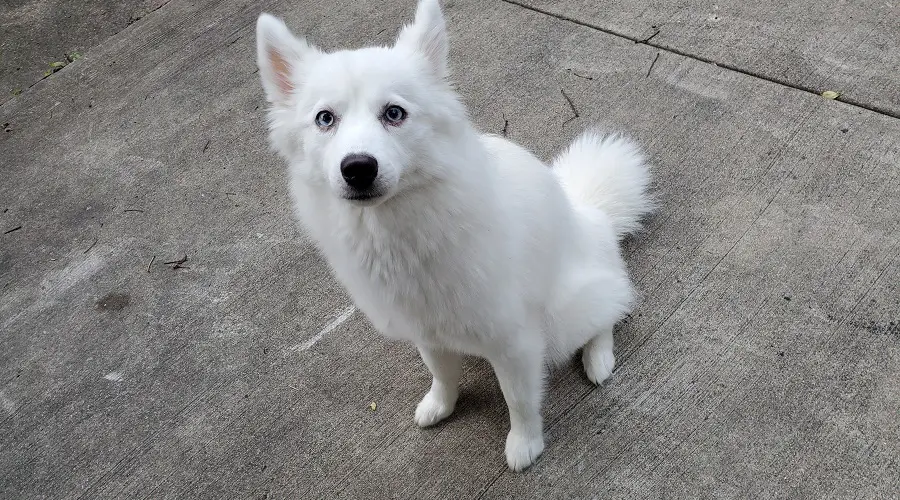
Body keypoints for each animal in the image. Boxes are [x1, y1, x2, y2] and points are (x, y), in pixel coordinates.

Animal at [253, 0, 652, 470]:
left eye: (394, 113)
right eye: (325, 119)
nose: (357, 168)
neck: (401, 231)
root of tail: (591, 211)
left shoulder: (515, 340)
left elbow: (519, 400)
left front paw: (525, 443)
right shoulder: (428, 330)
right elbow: (442, 375)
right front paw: (440, 406)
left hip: (568, 312)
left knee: (609, 309)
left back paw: (599, 358)